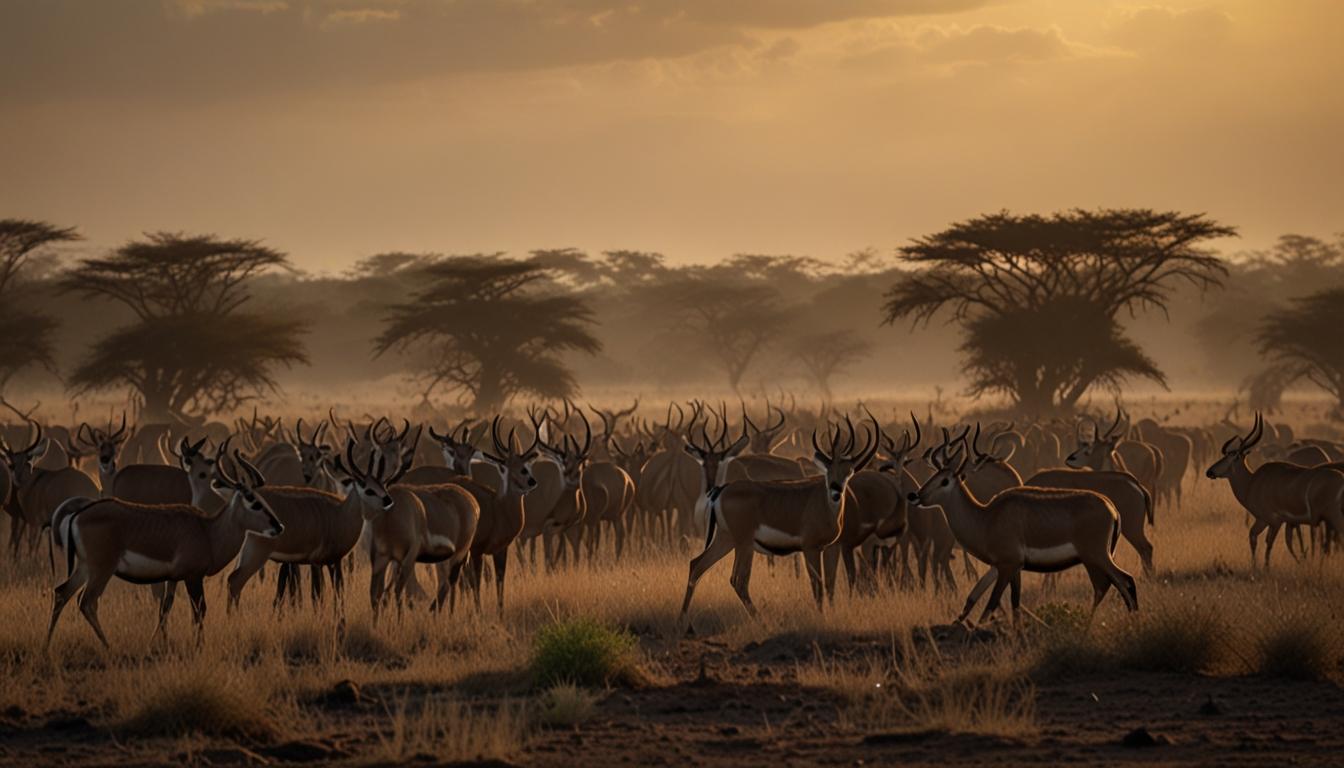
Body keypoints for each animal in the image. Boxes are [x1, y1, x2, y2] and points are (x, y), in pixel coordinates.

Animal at [47, 448, 283, 648]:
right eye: (252, 500)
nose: (278, 526)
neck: (207, 530)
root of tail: (80, 514)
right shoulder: (193, 578)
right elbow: (199, 611)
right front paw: (199, 646)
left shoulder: (173, 579)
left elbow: (165, 608)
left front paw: (157, 642)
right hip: (101, 570)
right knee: (87, 601)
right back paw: (108, 647)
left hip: (85, 568)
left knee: (61, 593)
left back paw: (47, 646)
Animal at [678, 414, 879, 625]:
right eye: (828, 470)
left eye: (848, 471)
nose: (835, 491)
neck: (823, 501)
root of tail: (721, 489)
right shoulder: (811, 548)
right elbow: (817, 585)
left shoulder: (829, 547)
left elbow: (829, 583)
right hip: (743, 544)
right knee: (738, 580)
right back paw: (762, 622)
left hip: (726, 540)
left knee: (697, 566)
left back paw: (685, 622)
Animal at [910, 432, 1138, 625]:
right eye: (934, 476)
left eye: (945, 481)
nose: (915, 496)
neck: (986, 518)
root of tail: (1111, 508)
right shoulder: (1007, 567)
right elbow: (993, 599)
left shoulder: (1007, 566)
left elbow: (991, 604)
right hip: (1096, 560)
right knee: (1107, 586)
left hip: (1097, 557)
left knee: (1125, 581)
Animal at [1206, 414, 1344, 567]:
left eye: (1232, 455)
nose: (1210, 471)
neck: (1252, 482)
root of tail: (1340, 477)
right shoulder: (1263, 520)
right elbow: (1253, 537)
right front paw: (1255, 566)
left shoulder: (1274, 521)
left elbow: (1268, 543)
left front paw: (1264, 568)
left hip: (1334, 517)